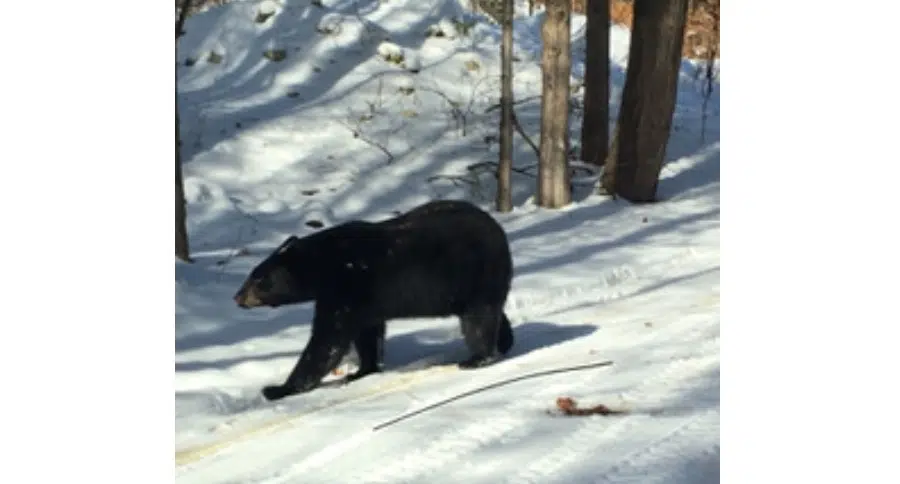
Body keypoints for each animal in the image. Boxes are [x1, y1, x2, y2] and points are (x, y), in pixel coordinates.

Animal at [232, 199, 512, 402]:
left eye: (258, 278)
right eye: (253, 274)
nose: (237, 297)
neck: (323, 265)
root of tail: (499, 232)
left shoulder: (346, 286)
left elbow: (327, 340)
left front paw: (277, 389)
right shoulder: (362, 300)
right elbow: (366, 334)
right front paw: (361, 372)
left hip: (476, 272)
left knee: (478, 319)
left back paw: (477, 358)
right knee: (492, 313)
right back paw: (505, 340)